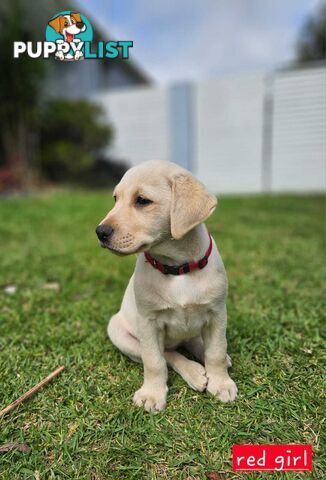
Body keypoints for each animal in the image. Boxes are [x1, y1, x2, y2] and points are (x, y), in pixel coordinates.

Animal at [97, 159, 237, 410]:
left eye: (142, 200)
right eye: (115, 199)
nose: (100, 232)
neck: (177, 268)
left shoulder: (217, 314)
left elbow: (216, 352)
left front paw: (221, 383)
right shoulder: (149, 322)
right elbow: (154, 361)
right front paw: (152, 394)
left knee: (193, 342)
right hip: (119, 332)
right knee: (168, 354)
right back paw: (194, 371)